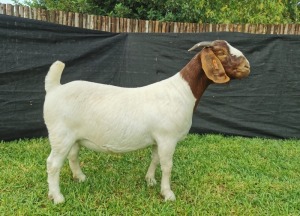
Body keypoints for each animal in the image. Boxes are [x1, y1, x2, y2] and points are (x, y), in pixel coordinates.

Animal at [44, 40, 251, 204]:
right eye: (221, 52)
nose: (247, 66)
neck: (182, 91)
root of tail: (54, 88)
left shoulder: (158, 139)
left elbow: (155, 159)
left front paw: (150, 180)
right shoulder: (167, 138)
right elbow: (167, 165)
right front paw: (167, 193)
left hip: (73, 137)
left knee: (72, 156)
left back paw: (80, 177)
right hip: (60, 135)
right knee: (53, 164)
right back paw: (57, 197)